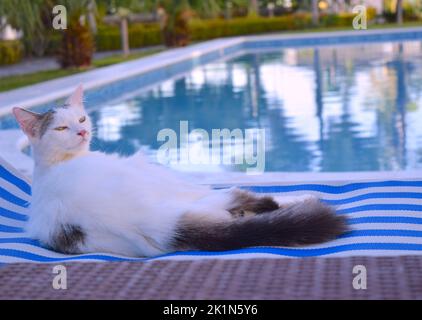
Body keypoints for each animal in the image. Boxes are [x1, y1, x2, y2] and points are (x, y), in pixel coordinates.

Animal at [12, 85, 346, 258]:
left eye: (82, 119)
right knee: (251, 198)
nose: (82, 132)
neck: (57, 163)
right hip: (161, 175)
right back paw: (301, 197)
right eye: (61, 128)